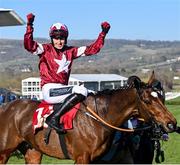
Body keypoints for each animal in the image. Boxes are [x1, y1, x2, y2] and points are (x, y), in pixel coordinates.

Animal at [0, 74, 177, 164]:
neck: (99, 118)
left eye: (162, 98)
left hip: (33, 151)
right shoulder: (82, 157)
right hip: (4, 152)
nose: (172, 124)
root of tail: (6, 106)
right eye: (147, 101)